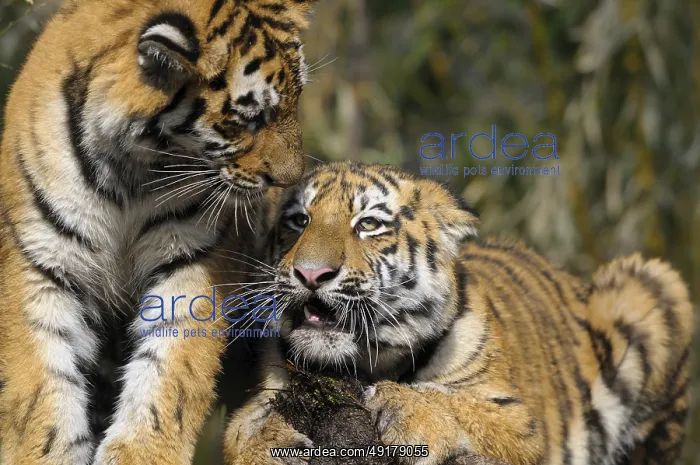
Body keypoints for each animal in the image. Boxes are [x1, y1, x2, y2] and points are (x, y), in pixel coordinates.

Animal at [0, 0, 320, 464]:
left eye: (298, 98)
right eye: (251, 119)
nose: (291, 180)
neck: (131, 170)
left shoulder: (193, 260)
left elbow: (170, 372)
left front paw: (142, 453)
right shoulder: (41, 265)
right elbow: (42, 389)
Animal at [224, 161, 694, 465]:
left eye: (369, 224)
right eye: (299, 220)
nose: (310, 273)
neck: (366, 363)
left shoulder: (518, 420)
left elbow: (456, 403)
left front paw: (408, 411)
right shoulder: (269, 389)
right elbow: (243, 426)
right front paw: (267, 444)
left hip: (649, 284)